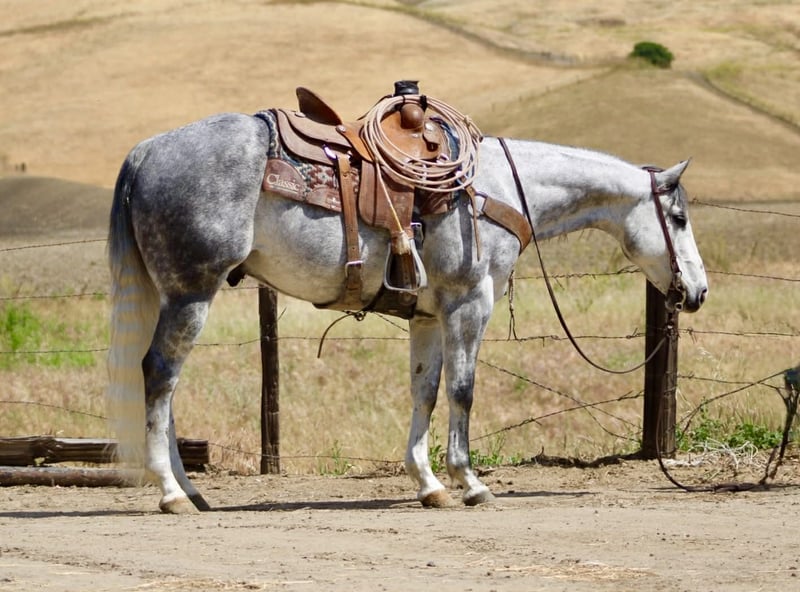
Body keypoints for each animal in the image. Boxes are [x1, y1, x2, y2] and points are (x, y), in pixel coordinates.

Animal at [107, 107, 708, 514]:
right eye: (678, 218)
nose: (697, 292)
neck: (494, 190)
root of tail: (145, 151)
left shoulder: (427, 316)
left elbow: (425, 391)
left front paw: (430, 484)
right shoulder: (469, 303)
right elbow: (463, 391)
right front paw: (471, 482)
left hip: (176, 296)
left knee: (165, 385)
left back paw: (191, 490)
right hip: (192, 292)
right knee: (159, 375)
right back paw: (171, 493)